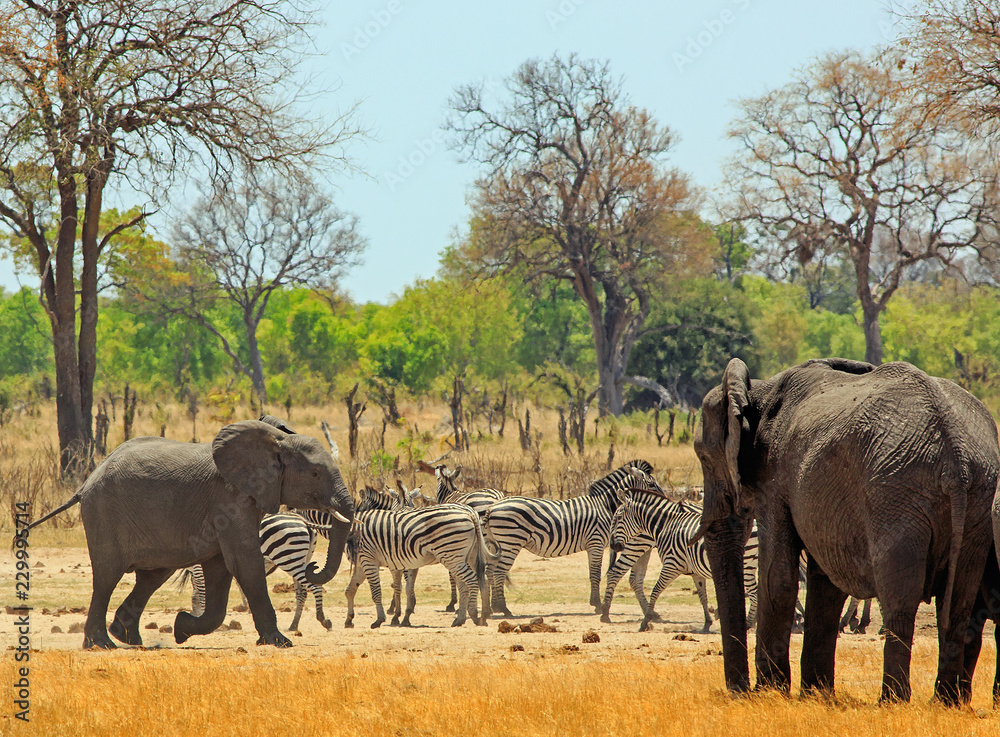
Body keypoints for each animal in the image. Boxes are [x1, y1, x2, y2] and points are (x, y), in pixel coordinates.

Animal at [187, 512, 331, 632]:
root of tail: (303, 521)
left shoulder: (200, 565)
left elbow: (201, 591)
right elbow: (197, 592)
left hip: (289, 559)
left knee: (315, 587)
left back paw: (323, 619)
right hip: (301, 559)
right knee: (302, 592)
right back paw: (294, 625)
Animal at [344, 502, 500, 629]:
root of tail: (470, 513)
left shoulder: (370, 560)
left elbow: (380, 592)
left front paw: (381, 620)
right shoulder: (362, 564)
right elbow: (350, 590)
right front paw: (349, 620)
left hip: (452, 555)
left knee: (472, 580)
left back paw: (474, 614)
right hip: (468, 555)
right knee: (480, 580)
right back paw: (477, 616)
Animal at [482, 460, 663, 617]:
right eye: (651, 484)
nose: (664, 500)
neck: (605, 506)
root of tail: (492, 507)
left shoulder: (593, 545)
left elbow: (592, 572)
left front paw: (595, 603)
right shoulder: (596, 542)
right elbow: (595, 573)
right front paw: (597, 605)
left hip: (496, 544)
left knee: (490, 571)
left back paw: (493, 608)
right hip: (511, 541)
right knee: (499, 572)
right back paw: (503, 608)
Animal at [604, 493, 758, 633]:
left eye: (618, 518)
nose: (612, 545)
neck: (666, 525)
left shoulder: (671, 565)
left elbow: (655, 590)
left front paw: (645, 621)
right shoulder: (696, 572)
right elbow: (703, 597)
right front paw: (707, 623)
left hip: (745, 564)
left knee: (754, 593)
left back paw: (748, 624)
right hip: (750, 565)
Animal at [693, 357, 999, 705]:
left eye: (703, 457)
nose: (739, 691)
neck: (757, 390)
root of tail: (956, 454)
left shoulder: (774, 479)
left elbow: (777, 576)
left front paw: (769, 694)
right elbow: (826, 581)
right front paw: (815, 694)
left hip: (895, 494)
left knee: (900, 597)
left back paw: (891, 701)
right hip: (978, 498)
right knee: (960, 599)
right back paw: (945, 703)